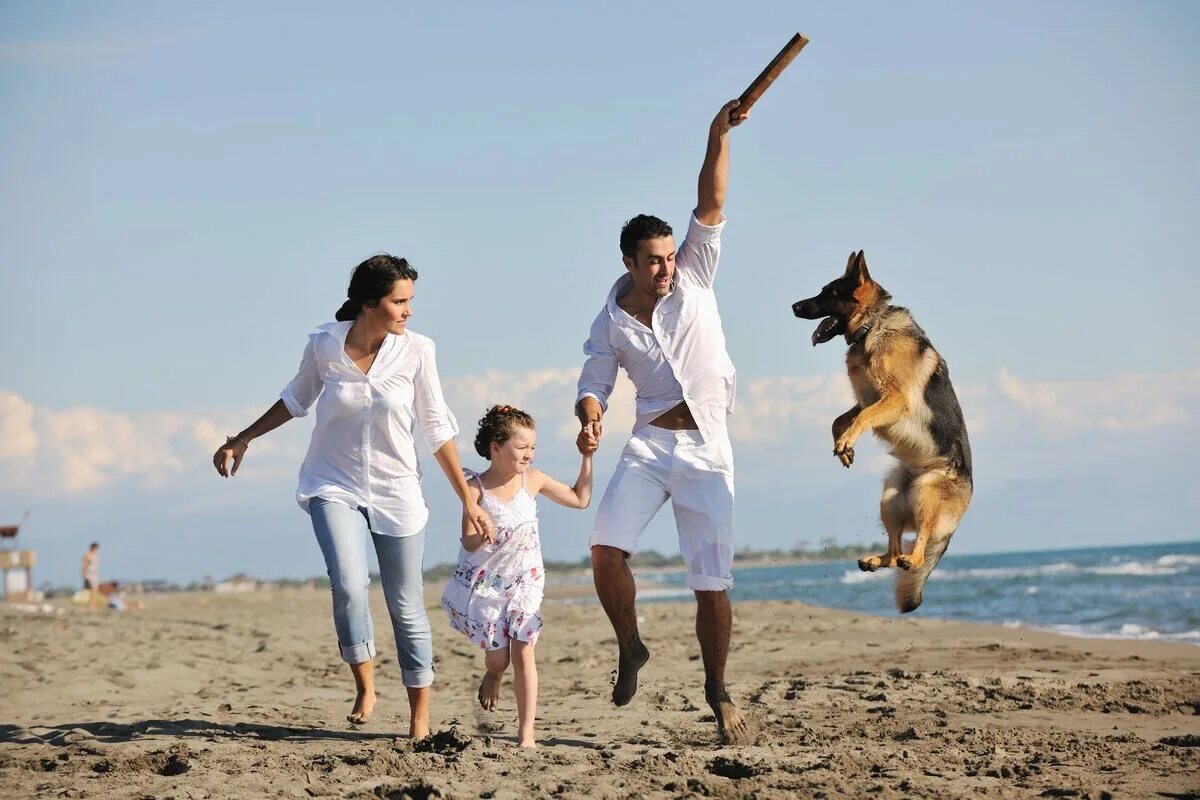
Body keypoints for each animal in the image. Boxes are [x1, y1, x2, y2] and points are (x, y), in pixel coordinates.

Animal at [792, 251, 969, 614]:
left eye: (828, 293)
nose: (793, 306)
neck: (871, 326)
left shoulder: (893, 400)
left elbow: (859, 419)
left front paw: (847, 442)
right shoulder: (869, 399)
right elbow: (839, 419)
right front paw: (844, 448)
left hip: (925, 493)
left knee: (917, 550)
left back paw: (910, 560)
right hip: (891, 496)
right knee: (895, 549)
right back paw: (878, 560)